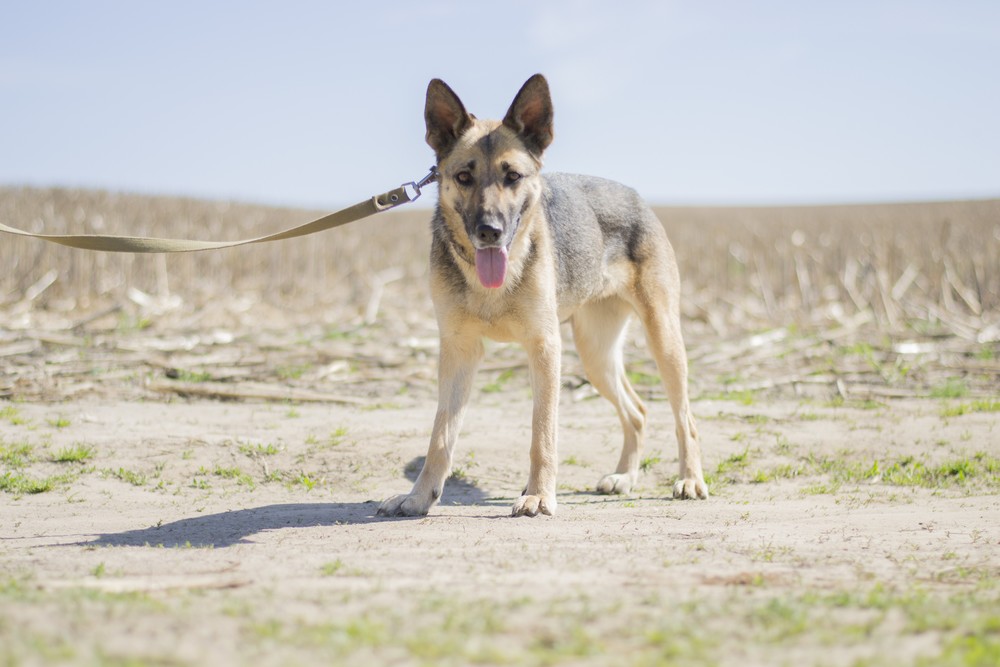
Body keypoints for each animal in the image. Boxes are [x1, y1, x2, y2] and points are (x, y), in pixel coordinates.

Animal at [376, 75, 712, 520]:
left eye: (513, 176)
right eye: (464, 177)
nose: (489, 231)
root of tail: (633, 194)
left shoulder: (544, 348)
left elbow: (542, 435)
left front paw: (537, 495)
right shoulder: (458, 351)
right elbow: (440, 437)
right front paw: (419, 496)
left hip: (663, 339)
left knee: (684, 417)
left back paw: (690, 479)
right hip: (596, 355)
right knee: (637, 411)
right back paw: (625, 476)